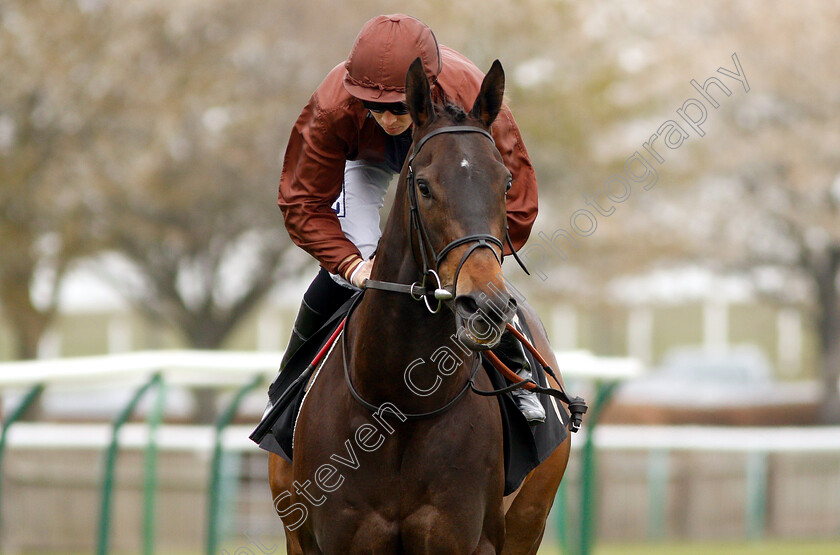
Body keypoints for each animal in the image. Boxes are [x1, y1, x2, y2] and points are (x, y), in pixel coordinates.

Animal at [270, 58, 572, 552]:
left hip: (530, 520)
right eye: (425, 186)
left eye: (506, 183)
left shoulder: (466, 537)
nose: (486, 305)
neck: (398, 407)